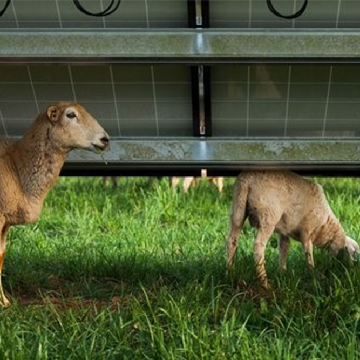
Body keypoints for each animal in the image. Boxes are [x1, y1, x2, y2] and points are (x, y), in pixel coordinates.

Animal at [0, 102, 109, 306]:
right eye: (70, 115)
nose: (105, 139)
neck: (17, 165)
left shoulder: (6, 221)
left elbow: (1, 255)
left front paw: (4, 302)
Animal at [226, 169, 358, 290]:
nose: (351, 270)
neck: (325, 225)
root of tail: (247, 180)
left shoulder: (284, 232)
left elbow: (284, 250)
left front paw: (283, 273)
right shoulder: (307, 232)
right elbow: (308, 255)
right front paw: (313, 276)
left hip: (237, 208)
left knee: (231, 240)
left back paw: (231, 273)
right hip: (269, 214)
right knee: (259, 245)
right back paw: (265, 283)